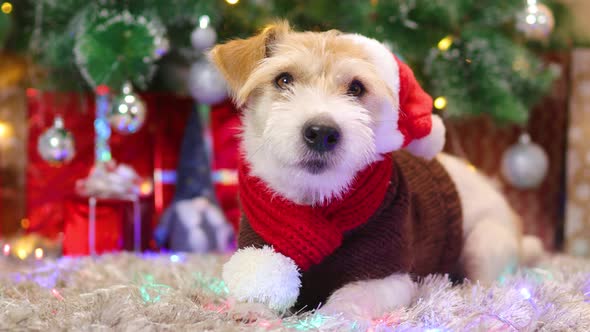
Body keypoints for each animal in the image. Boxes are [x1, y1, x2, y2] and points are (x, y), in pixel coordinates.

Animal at [209, 22, 544, 320]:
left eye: (357, 88)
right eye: (283, 80)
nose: (322, 132)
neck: (317, 199)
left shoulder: (386, 275)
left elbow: (352, 295)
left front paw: (331, 318)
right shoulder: (259, 248)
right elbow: (257, 284)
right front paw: (250, 310)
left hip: (484, 243)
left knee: (488, 286)